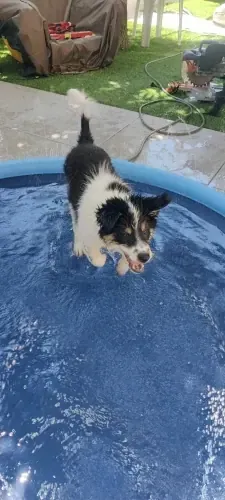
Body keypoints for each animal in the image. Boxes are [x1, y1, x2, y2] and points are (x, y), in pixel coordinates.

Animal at [63, 91, 171, 278]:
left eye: (145, 231)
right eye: (125, 234)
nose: (145, 257)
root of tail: (85, 142)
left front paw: (122, 268)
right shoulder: (89, 226)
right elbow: (97, 257)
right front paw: (99, 257)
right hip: (72, 194)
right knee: (74, 219)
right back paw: (77, 245)